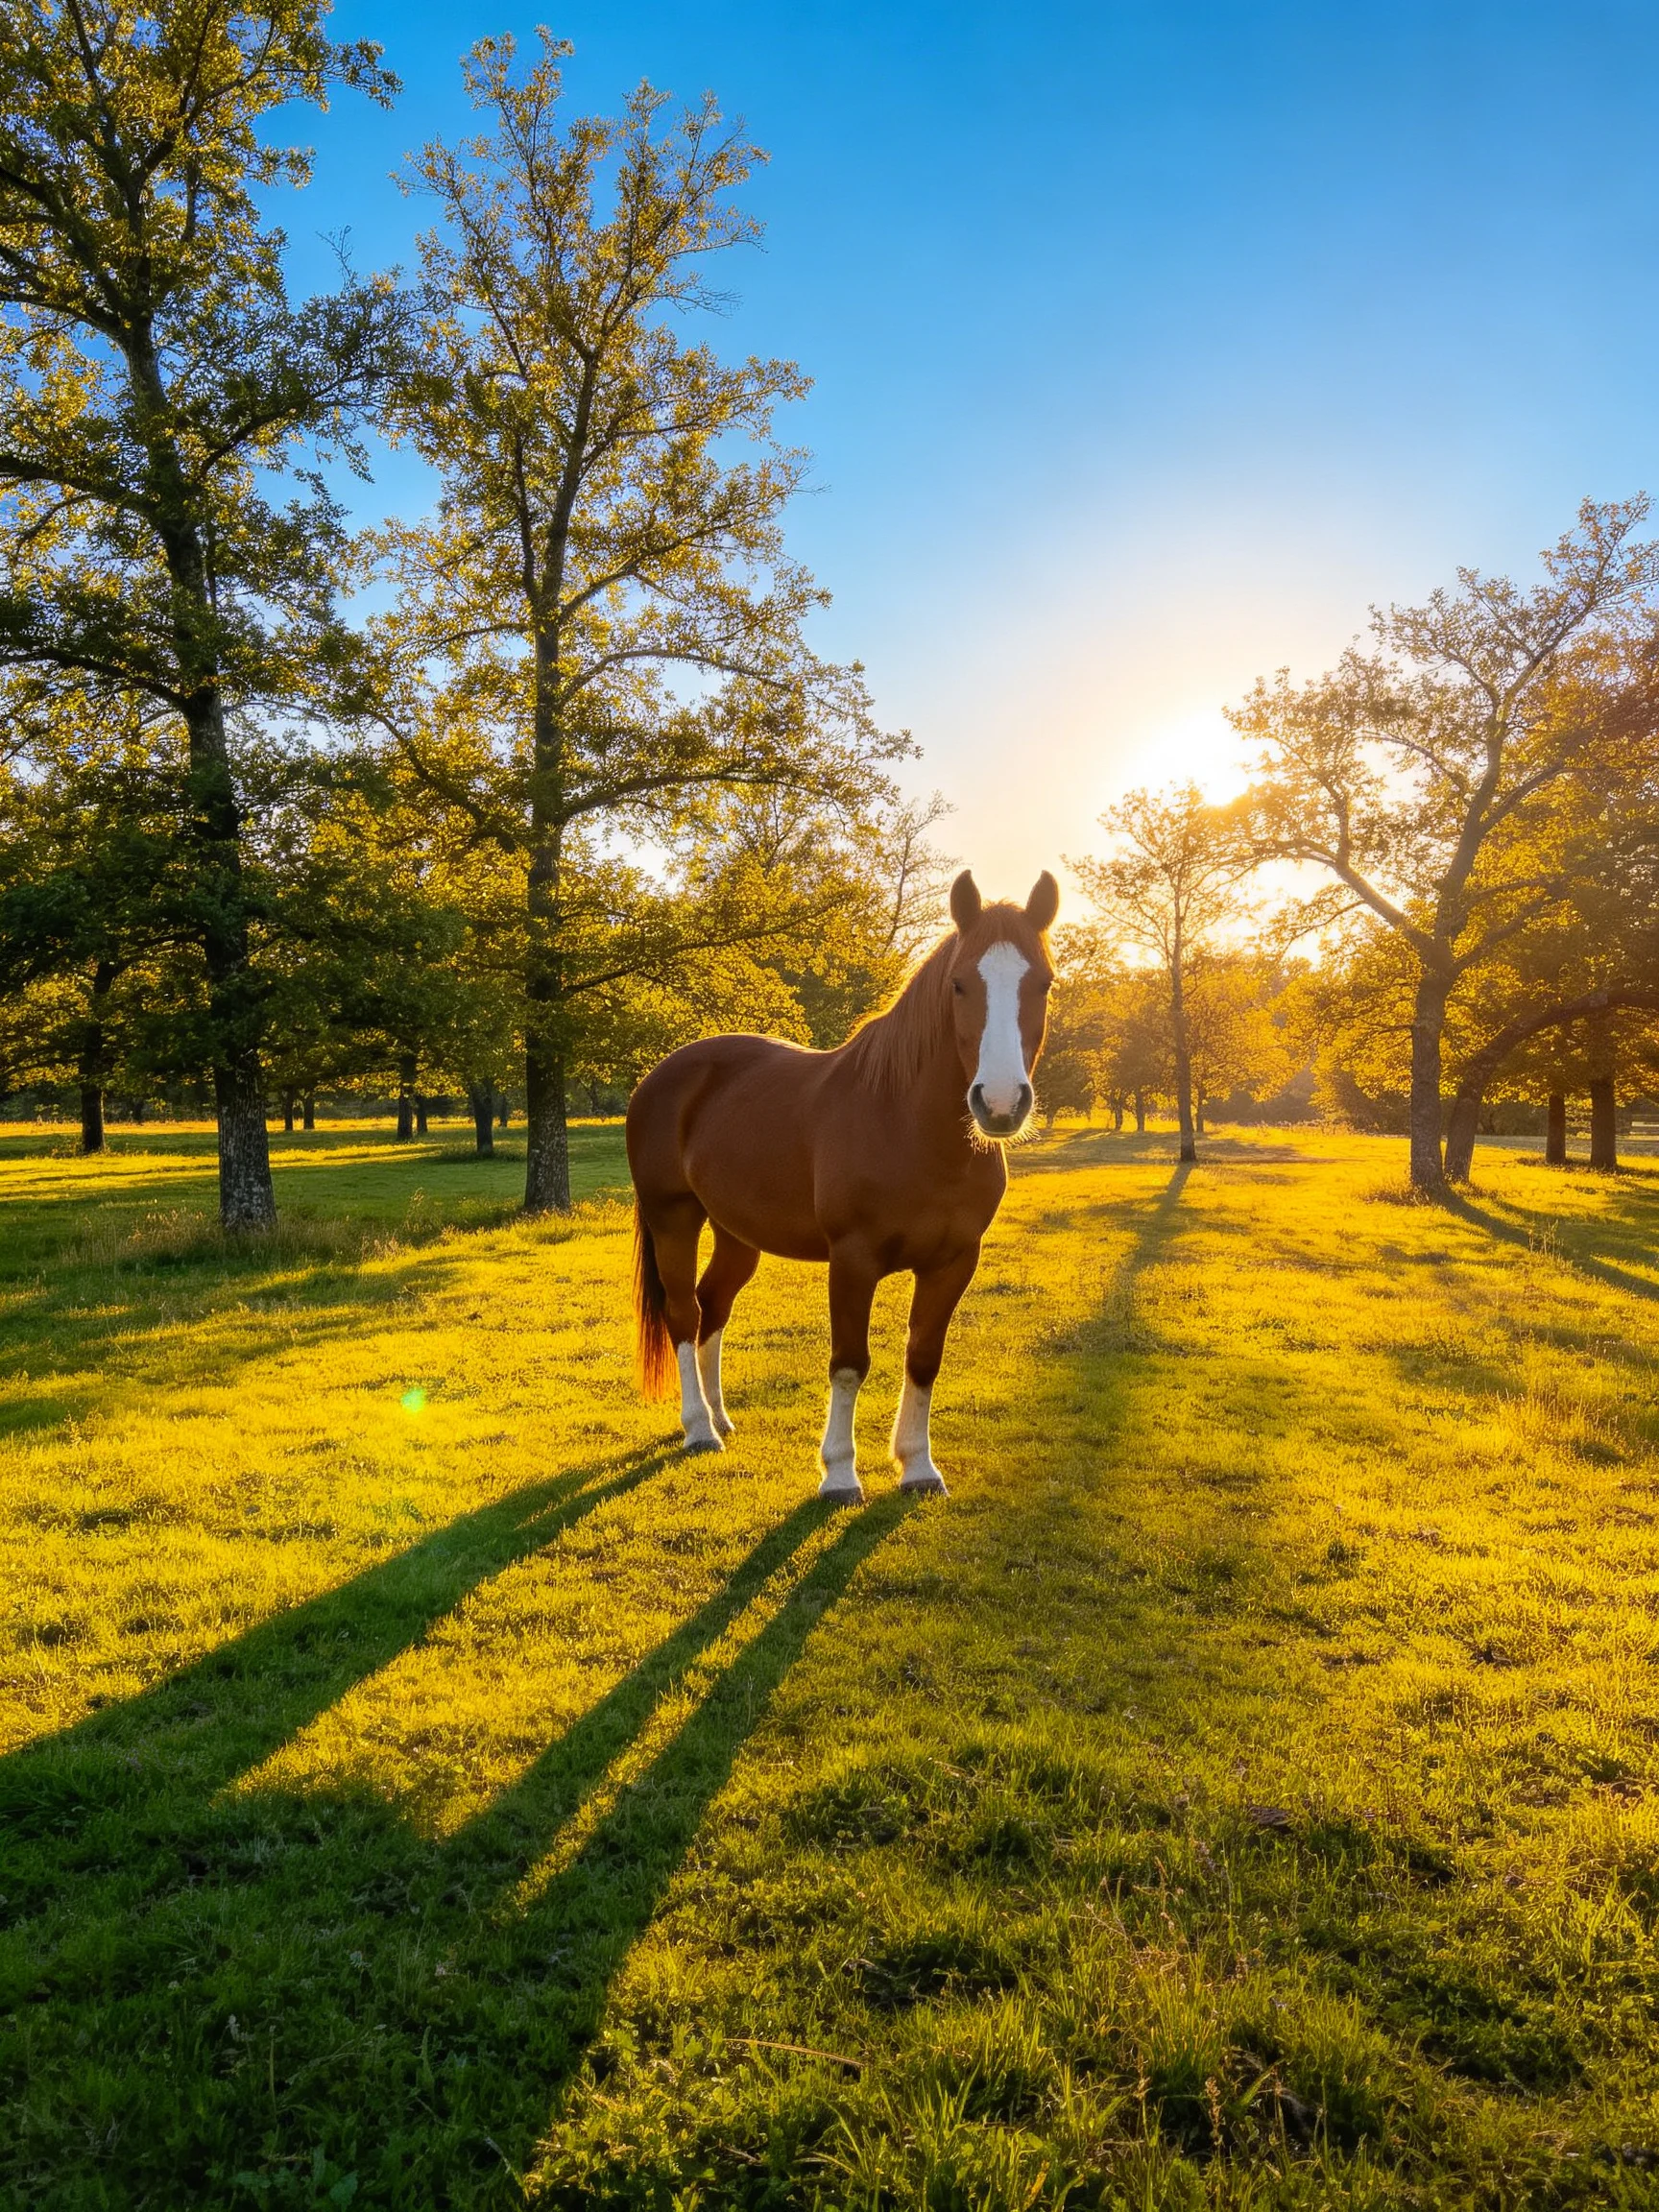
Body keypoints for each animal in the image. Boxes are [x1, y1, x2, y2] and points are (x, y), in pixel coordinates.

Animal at [625, 867, 1058, 1502]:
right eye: (958, 985)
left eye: (1044, 984)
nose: (1000, 1104)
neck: (907, 1125)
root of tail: (662, 1074)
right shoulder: (852, 1260)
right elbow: (850, 1362)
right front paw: (839, 1473)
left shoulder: (954, 1261)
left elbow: (924, 1356)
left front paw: (918, 1466)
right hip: (673, 1219)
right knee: (683, 1311)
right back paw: (699, 1429)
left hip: (737, 1234)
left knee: (712, 1305)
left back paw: (721, 1417)